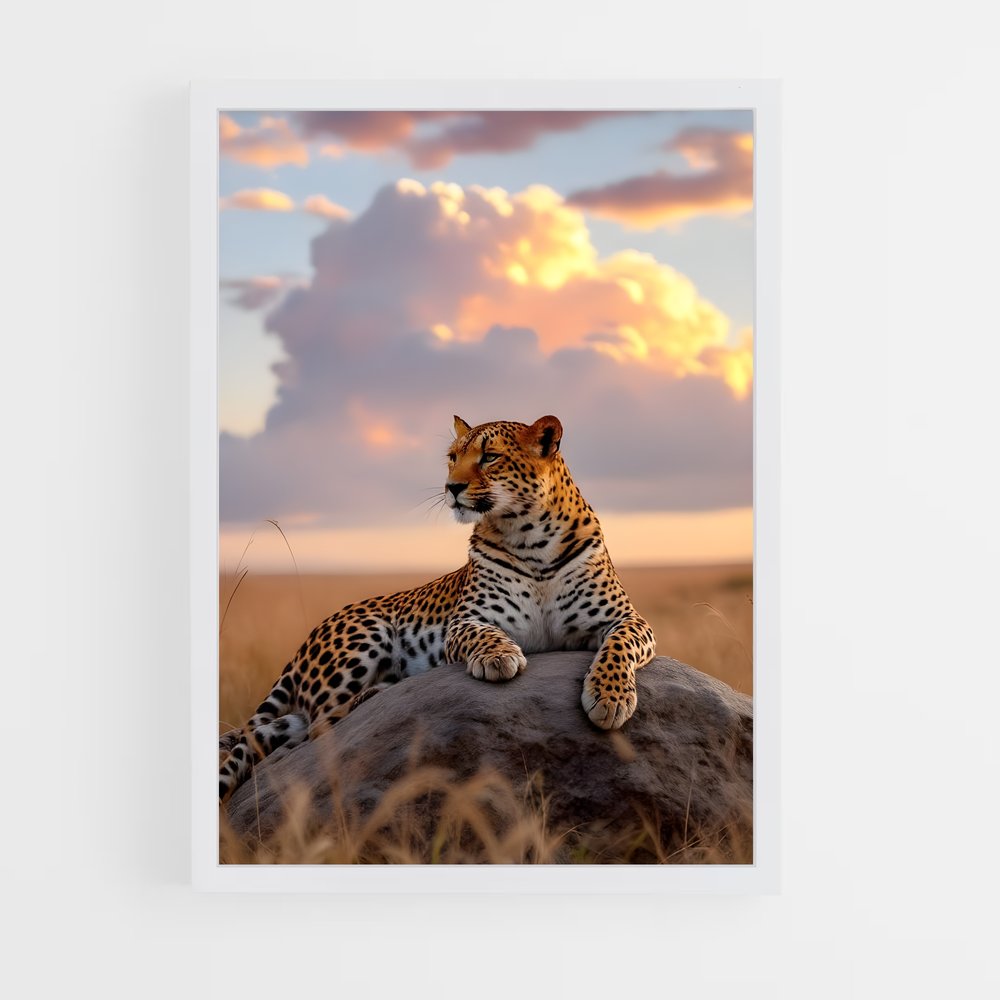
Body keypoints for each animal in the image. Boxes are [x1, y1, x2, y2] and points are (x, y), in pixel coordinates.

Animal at [219, 414, 657, 802]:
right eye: (452, 456)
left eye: (490, 457)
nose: (452, 487)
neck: (531, 538)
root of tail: (307, 639)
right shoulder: (466, 620)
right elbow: (483, 634)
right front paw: (498, 658)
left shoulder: (626, 618)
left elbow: (619, 646)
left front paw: (611, 698)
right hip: (366, 633)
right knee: (320, 726)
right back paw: (378, 691)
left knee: (286, 729)